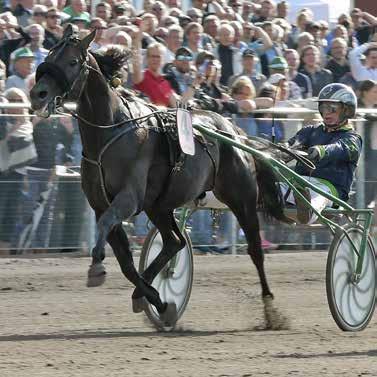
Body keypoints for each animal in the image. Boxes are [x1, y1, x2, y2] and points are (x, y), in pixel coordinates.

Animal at [30, 25, 292, 326]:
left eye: (73, 62)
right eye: (49, 55)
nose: (38, 94)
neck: (111, 131)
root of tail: (235, 132)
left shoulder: (128, 199)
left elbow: (109, 228)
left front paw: (97, 266)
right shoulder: (100, 203)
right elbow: (126, 264)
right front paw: (159, 302)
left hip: (242, 199)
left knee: (255, 250)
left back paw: (270, 308)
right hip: (160, 206)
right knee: (174, 241)